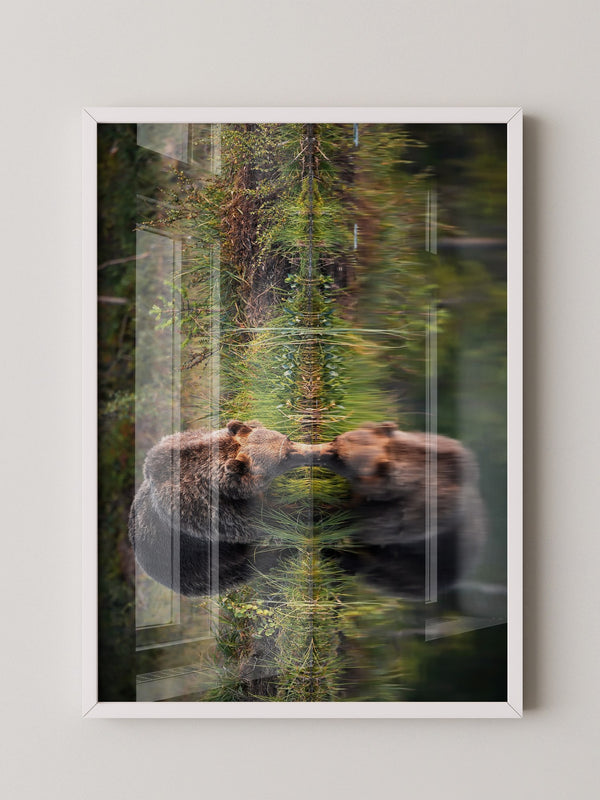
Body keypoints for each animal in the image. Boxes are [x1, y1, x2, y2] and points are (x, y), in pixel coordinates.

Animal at [128, 419, 315, 596]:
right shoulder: (213, 513)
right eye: (284, 458)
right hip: (198, 565)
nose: (311, 452)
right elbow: (266, 521)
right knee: (245, 566)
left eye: (288, 439)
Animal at [315, 422, 487, 600]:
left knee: (373, 567)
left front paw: (321, 513)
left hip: (416, 568)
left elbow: (359, 522)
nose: (316, 453)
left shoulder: (411, 515)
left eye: (339, 458)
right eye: (337, 439)